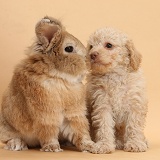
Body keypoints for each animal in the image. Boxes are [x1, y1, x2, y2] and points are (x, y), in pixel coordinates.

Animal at [0, 16, 99, 154]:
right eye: (69, 48)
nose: (88, 61)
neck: (59, 78)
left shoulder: (74, 115)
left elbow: (80, 131)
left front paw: (91, 146)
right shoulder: (46, 116)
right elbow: (49, 133)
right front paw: (52, 148)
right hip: (7, 128)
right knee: (9, 139)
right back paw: (17, 144)